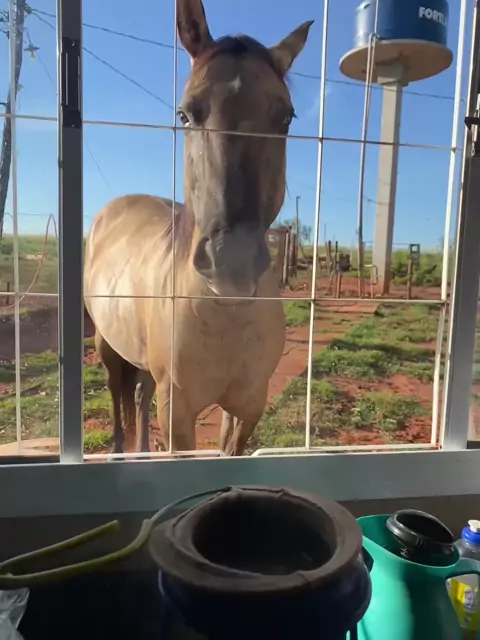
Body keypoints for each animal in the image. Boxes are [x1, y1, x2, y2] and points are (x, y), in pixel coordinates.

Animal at [83, 0, 313, 456]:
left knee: (139, 393)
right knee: (117, 392)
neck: (225, 315)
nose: (231, 262)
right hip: (106, 344)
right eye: (185, 113)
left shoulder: (248, 405)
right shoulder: (178, 413)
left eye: (286, 117)